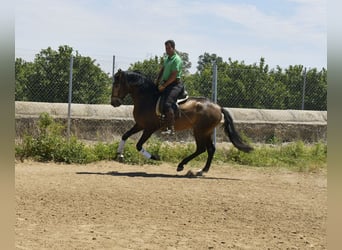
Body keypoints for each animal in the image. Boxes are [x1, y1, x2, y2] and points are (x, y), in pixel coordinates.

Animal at [111, 69, 252, 176]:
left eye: (116, 85)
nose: (114, 103)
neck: (147, 98)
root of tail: (218, 107)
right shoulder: (140, 125)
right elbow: (125, 135)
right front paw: (119, 154)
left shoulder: (149, 128)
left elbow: (138, 145)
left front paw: (155, 157)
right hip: (206, 131)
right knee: (210, 149)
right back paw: (202, 170)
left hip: (200, 130)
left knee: (201, 149)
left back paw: (182, 165)